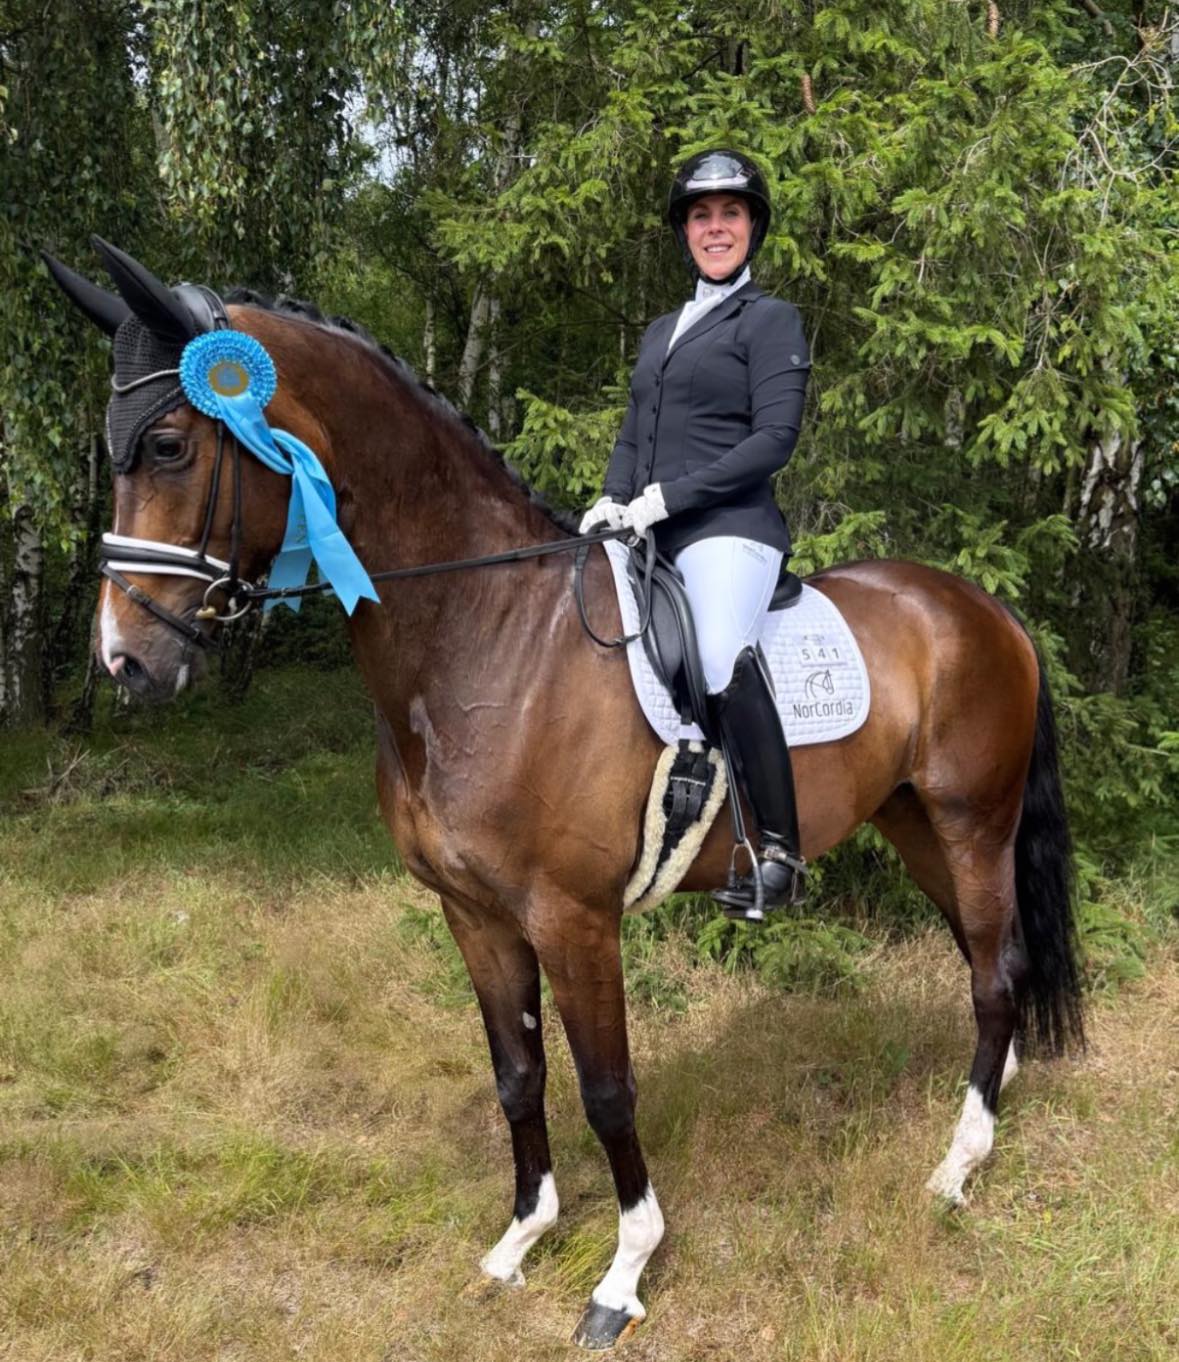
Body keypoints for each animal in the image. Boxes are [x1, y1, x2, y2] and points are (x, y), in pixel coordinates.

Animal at [46, 241, 1084, 1350]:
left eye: (165, 446)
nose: (125, 660)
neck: (488, 635)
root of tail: (979, 605)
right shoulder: (474, 913)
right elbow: (518, 1073)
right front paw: (521, 1239)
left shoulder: (573, 918)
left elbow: (607, 1089)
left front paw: (621, 1275)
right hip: (916, 825)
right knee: (991, 961)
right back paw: (991, 1104)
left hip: (973, 822)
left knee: (993, 969)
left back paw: (956, 1168)